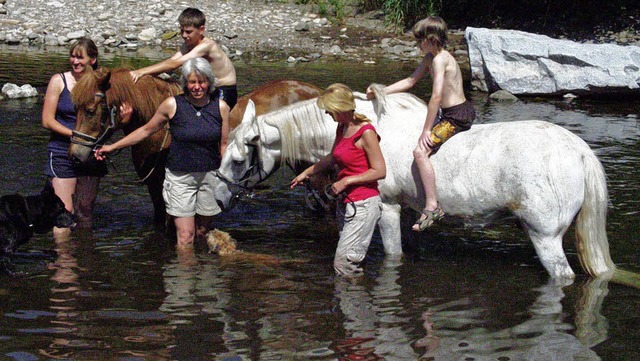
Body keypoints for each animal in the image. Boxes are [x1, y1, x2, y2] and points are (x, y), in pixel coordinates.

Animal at [212, 86, 624, 280]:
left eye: (238, 160)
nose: (216, 199)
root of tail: (581, 152)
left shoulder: (388, 207)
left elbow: (393, 254)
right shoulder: (410, 209)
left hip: (545, 236)